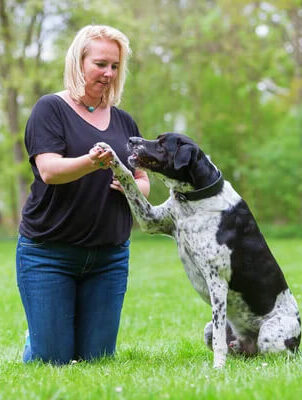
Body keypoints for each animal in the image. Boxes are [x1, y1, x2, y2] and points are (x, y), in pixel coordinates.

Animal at [95, 133, 300, 368]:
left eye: (162, 144)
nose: (131, 139)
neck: (196, 197)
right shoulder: (151, 220)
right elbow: (129, 179)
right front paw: (109, 154)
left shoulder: (217, 282)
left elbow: (219, 340)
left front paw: (218, 368)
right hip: (208, 329)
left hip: (270, 333)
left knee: (277, 356)